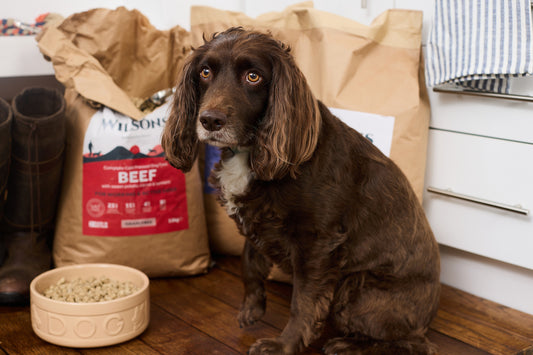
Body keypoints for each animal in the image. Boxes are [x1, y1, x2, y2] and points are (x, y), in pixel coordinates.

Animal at [162, 26, 440, 354]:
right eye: (205, 72)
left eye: (253, 76)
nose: (210, 120)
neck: (253, 150)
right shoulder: (257, 220)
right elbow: (248, 262)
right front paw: (252, 307)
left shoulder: (317, 244)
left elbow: (304, 303)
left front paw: (283, 345)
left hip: (355, 290)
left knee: (416, 344)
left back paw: (345, 345)